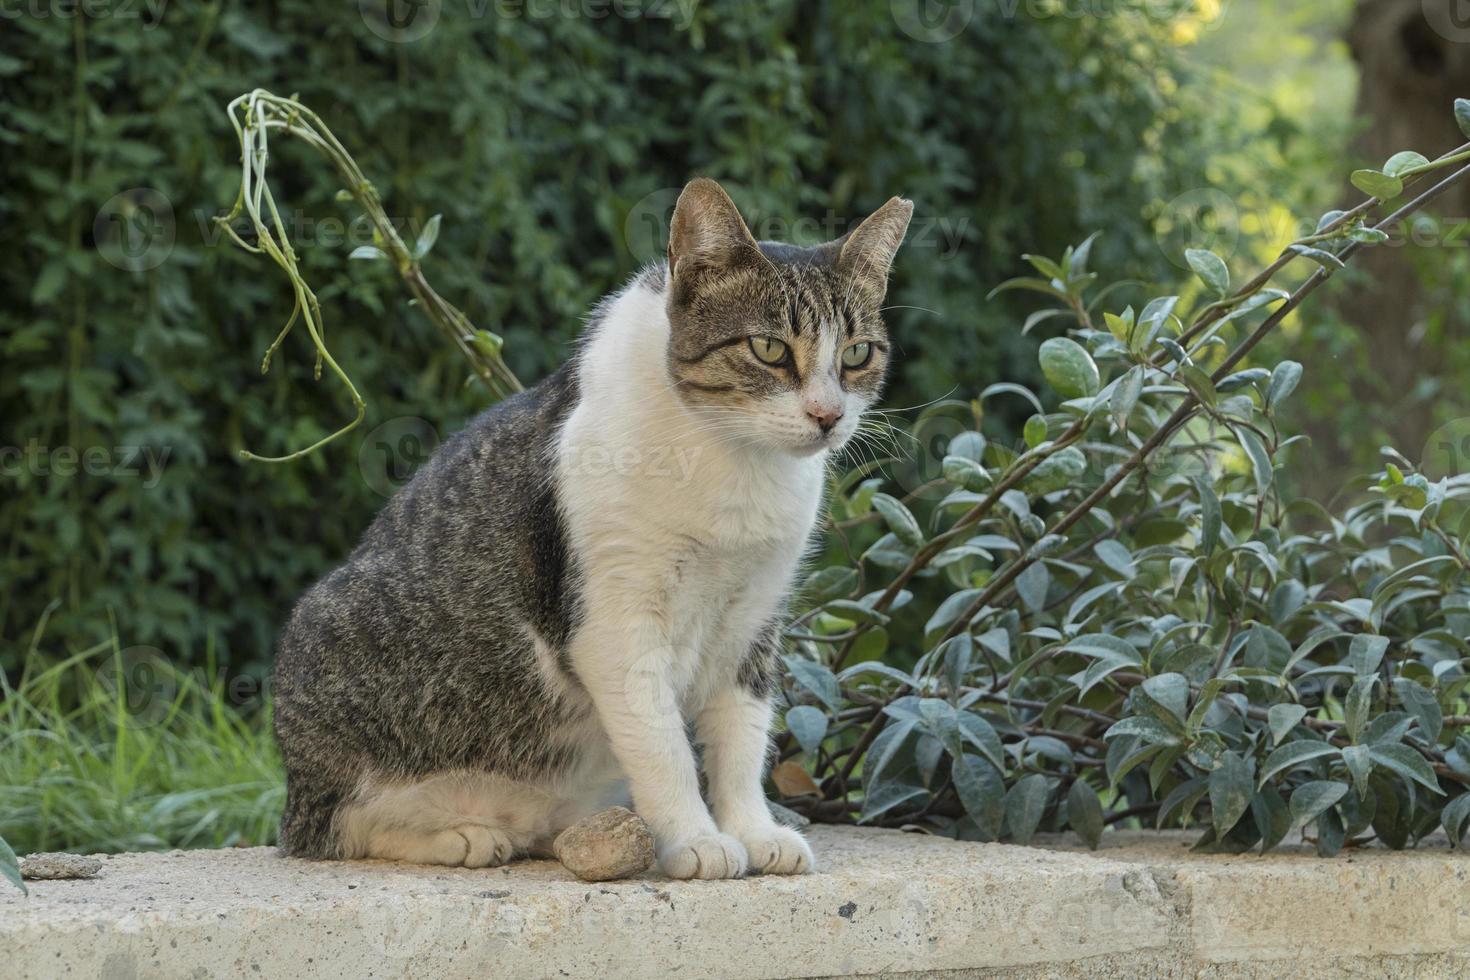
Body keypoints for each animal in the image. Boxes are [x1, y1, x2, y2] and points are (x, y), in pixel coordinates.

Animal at [266, 178, 905, 881]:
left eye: (858, 354)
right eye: (769, 349)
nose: (828, 415)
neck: (735, 468)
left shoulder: (754, 618)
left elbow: (742, 740)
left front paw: (754, 830)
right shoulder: (616, 620)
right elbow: (663, 744)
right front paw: (697, 839)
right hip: (326, 643)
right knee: (335, 828)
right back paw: (461, 837)